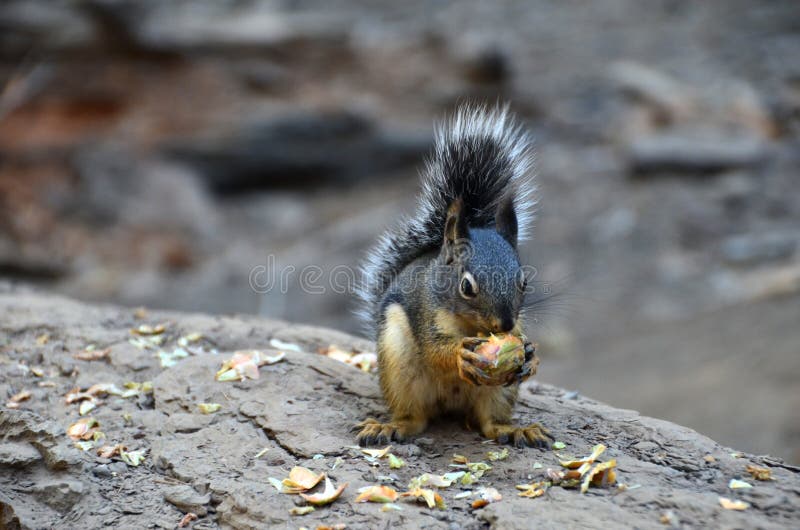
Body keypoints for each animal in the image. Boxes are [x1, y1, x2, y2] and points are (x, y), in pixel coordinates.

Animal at [354, 105, 552, 448]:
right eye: (466, 286)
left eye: (523, 282)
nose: (505, 326)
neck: (472, 326)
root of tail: (450, 406)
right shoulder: (425, 312)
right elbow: (435, 351)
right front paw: (461, 354)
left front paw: (531, 356)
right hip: (397, 363)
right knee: (414, 418)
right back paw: (391, 426)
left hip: (498, 393)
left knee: (490, 423)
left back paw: (515, 429)